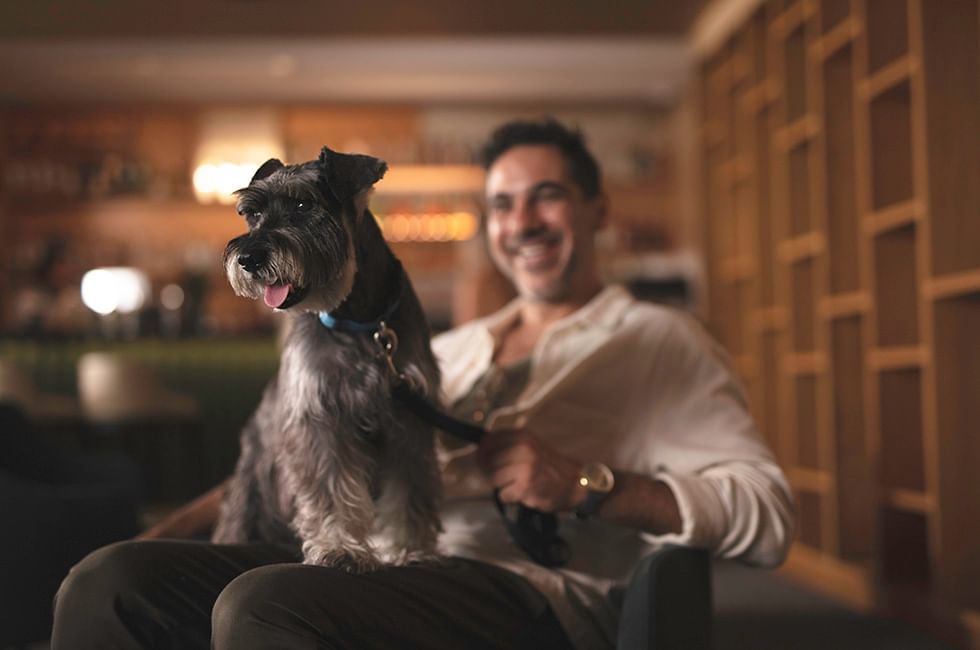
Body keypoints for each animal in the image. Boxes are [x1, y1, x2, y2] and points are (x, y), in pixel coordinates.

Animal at [215, 144, 448, 568]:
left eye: (304, 204)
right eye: (252, 213)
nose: (248, 259)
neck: (359, 320)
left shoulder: (410, 421)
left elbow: (410, 491)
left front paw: (411, 549)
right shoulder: (320, 417)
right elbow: (330, 489)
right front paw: (339, 547)